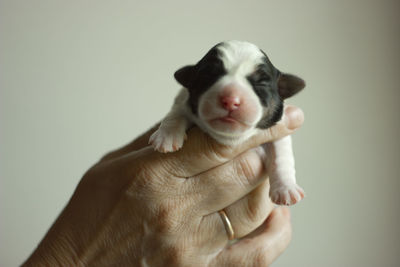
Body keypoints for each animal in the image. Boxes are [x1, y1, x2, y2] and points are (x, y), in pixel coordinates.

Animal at [148, 40, 304, 206]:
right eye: (208, 75)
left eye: (261, 83)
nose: (230, 100)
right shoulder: (183, 102)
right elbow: (176, 113)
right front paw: (166, 136)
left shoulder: (277, 130)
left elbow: (281, 155)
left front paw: (287, 189)